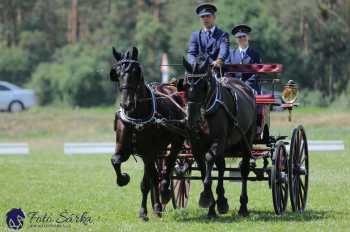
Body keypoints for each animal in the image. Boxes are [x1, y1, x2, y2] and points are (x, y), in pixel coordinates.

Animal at [109, 47, 186, 221]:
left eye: (135, 71)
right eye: (117, 73)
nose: (126, 104)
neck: (136, 116)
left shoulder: (149, 152)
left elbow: (149, 181)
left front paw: (151, 207)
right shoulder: (126, 149)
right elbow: (115, 161)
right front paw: (123, 178)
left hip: (175, 142)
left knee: (168, 167)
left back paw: (165, 193)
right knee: (155, 174)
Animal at [182, 57, 256, 218]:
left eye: (203, 86)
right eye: (185, 86)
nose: (191, 120)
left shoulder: (218, 141)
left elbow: (209, 160)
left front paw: (206, 198)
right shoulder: (196, 147)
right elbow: (204, 170)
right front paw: (211, 206)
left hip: (246, 140)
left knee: (244, 170)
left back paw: (243, 207)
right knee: (221, 166)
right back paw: (221, 201)